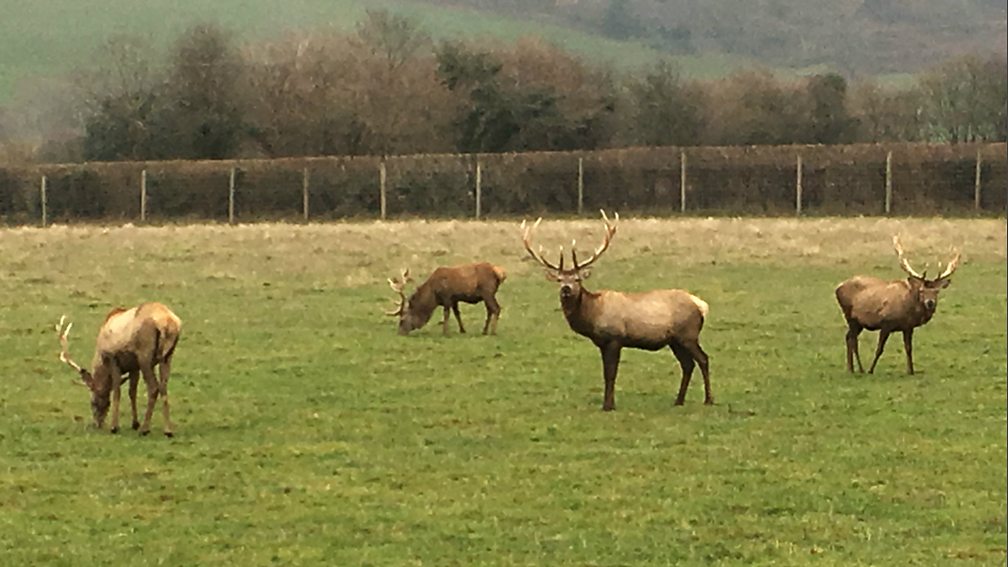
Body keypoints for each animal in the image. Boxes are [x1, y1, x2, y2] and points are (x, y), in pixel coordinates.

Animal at [55, 302, 182, 437]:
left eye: (93, 402)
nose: (97, 424)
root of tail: (168, 323)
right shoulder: (134, 366)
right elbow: (132, 392)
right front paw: (134, 423)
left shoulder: (113, 359)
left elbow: (117, 391)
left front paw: (114, 427)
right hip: (167, 356)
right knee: (163, 386)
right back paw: (168, 430)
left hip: (145, 355)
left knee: (153, 387)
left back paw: (145, 429)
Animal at [521, 210, 713, 411]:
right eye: (559, 279)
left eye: (577, 279)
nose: (566, 289)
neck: (592, 316)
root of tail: (701, 305)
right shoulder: (602, 343)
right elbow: (606, 372)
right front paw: (607, 403)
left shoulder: (615, 338)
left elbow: (611, 373)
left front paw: (608, 405)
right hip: (675, 340)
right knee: (687, 364)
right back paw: (678, 400)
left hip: (688, 334)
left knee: (703, 359)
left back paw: (708, 399)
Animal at [835, 235, 960, 375]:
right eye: (921, 290)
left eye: (936, 291)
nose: (930, 302)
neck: (908, 310)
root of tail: (837, 288)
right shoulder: (886, 323)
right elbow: (879, 349)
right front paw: (871, 370)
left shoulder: (908, 327)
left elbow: (909, 348)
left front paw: (911, 371)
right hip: (849, 316)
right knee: (853, 340)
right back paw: (861, 369)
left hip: (859, 323)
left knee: (848, 337)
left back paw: (850, 368)